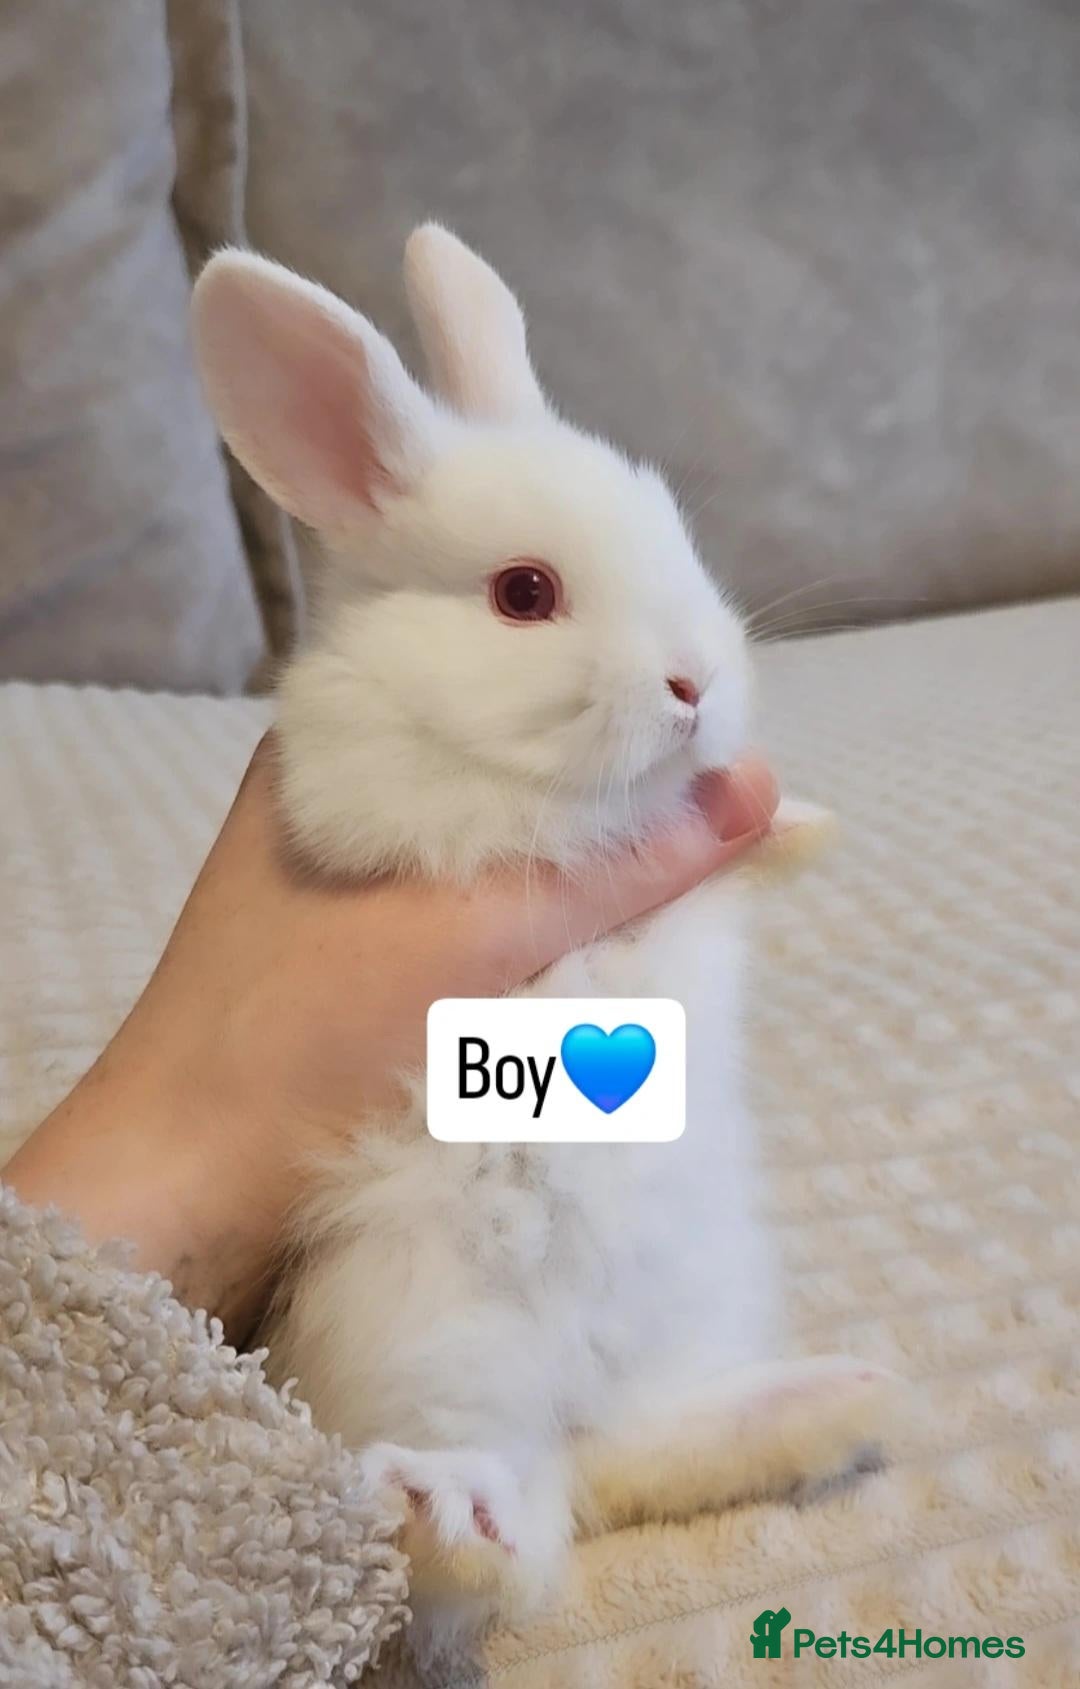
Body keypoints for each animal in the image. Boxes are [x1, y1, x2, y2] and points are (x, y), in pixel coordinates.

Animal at [192, 225, 900, 1661]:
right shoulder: (385, 805)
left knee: (638, 1462)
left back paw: (840, 1395)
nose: (697, 683)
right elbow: (546, 832)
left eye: (677, 533)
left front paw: (801, 826)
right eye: (525, 593)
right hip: (434, 1350)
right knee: (503, 1563)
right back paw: (446, 1513)